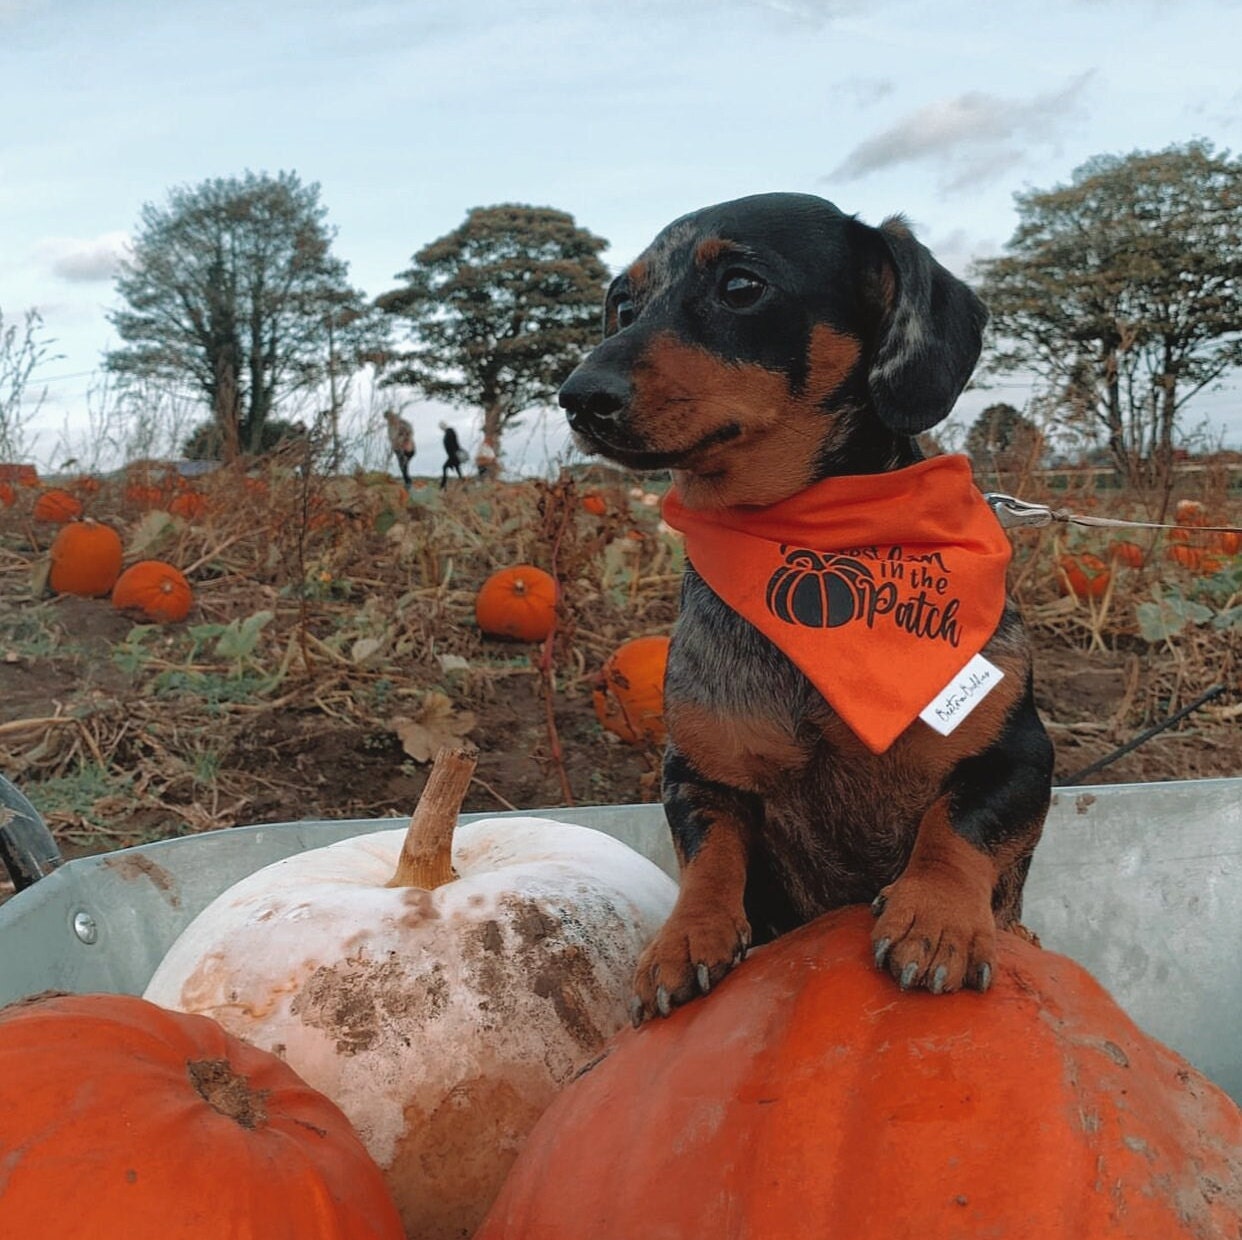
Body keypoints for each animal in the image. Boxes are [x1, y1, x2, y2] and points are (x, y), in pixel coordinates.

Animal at [558, 193, 1053, 1023]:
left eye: (741, 285)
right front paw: (686, 938)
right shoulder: (695, 772)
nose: (578, 396)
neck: (807, 538)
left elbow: (957, 824)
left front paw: (936, 917)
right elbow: (710, 852)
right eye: (622, 303)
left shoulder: (1019, 755)